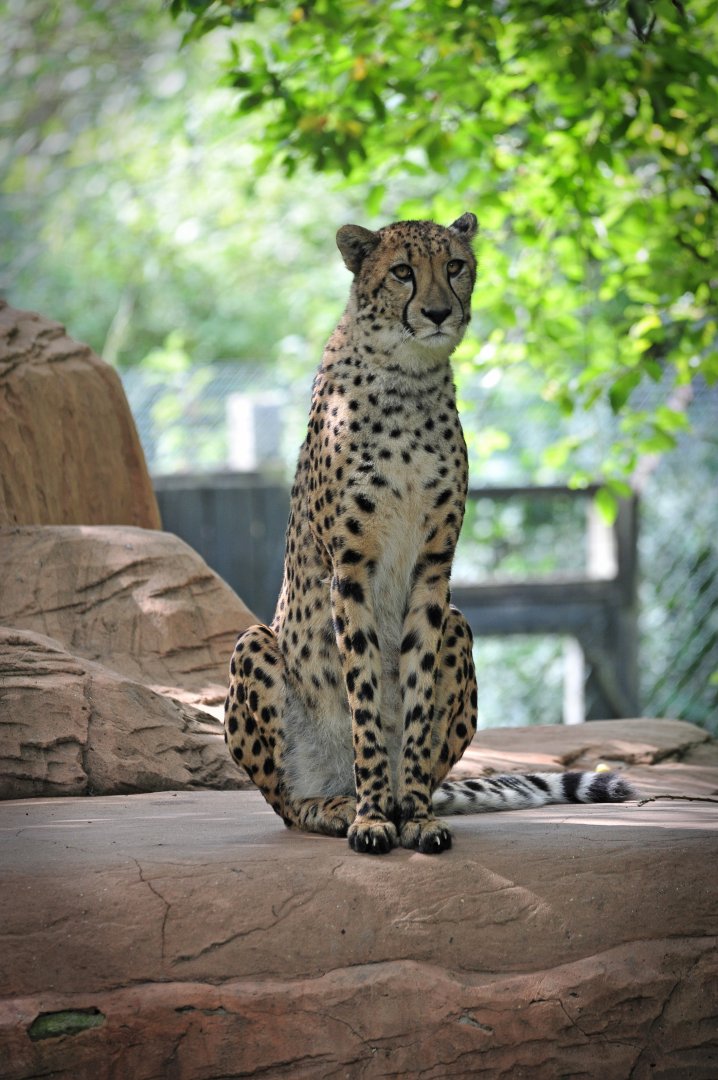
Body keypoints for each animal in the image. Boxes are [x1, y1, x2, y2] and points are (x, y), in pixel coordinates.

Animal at [224, 213, 636, 855]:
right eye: (402, 272)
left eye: (455, 266)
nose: (439, 312)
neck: (409, 379)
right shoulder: (352, 566)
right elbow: (366, 700)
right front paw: (371, 820)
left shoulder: (433, 565)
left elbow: (415, 698)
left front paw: (415, 817)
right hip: (255, 645)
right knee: (285, 803)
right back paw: (336, 805)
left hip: (460, 628)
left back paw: (397, 800)